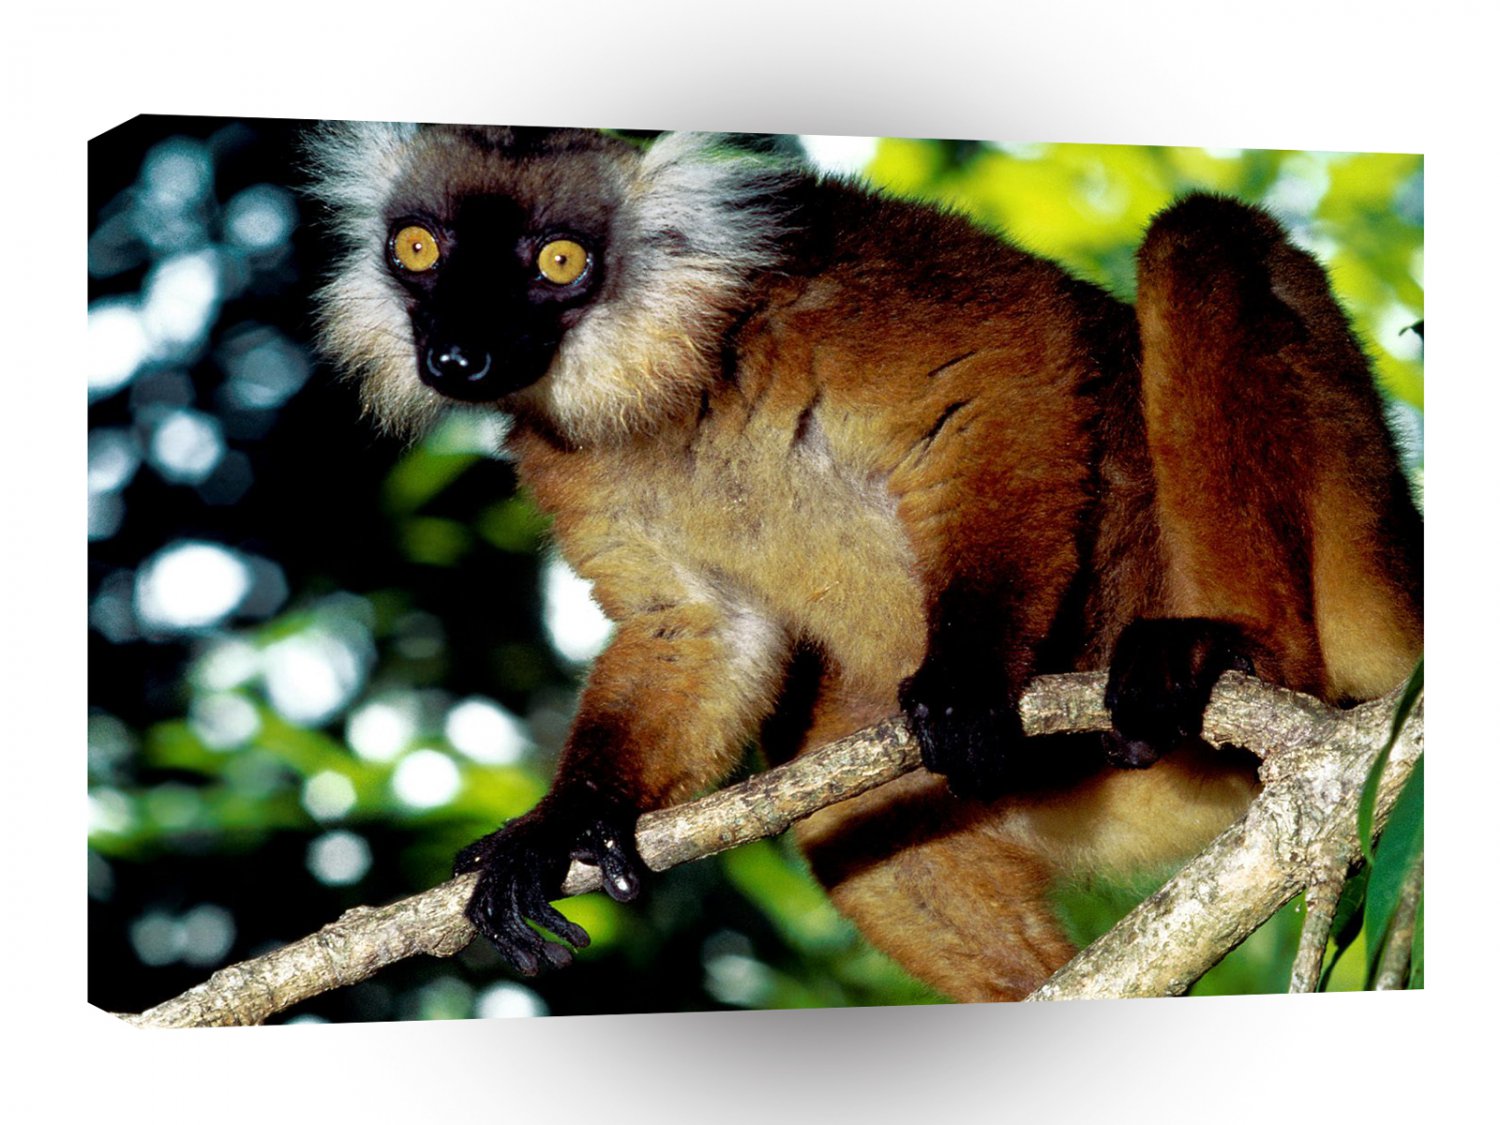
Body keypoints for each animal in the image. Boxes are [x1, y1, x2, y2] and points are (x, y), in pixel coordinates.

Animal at [306, 123, 1423, 1001]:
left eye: (558, 262)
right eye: (418, 249)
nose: (457, 357)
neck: (664, 381)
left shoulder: (841, 277)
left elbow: (1015, 357)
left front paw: (968, 673)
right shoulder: (565, 454)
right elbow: (694, 626)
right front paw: (561, 824)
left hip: (1352, 567)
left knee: (1200, 242)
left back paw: (1231, 651)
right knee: (850, 800)